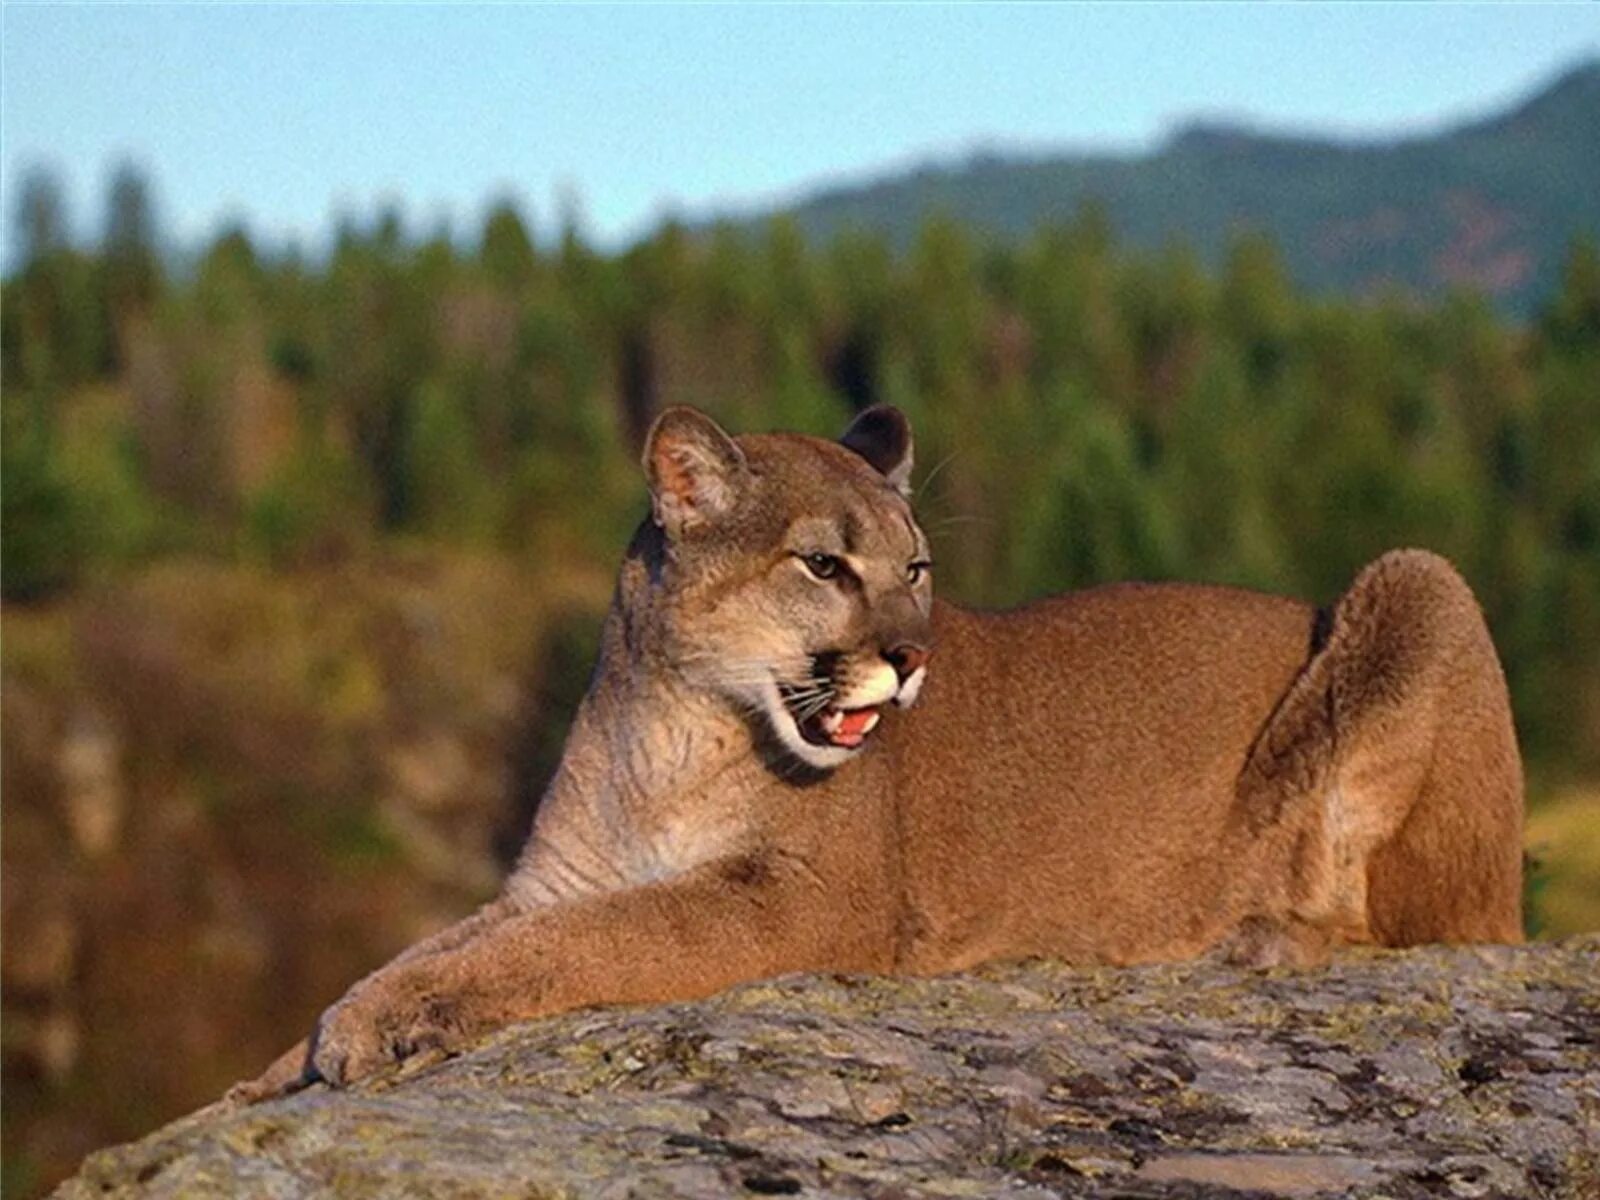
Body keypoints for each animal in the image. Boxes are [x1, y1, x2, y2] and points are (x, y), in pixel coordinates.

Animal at [236, 406, 1523, 1100]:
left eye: (916, 567)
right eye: (824, 565)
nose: (911, 657)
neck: (670, 723)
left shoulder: (795, 902)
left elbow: (578, 943)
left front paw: (371, 1027)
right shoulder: (554, 877)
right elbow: (450, 940)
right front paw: (287, 1060)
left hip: (1421, 582)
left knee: (1425, 924)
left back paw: (1258, 935)